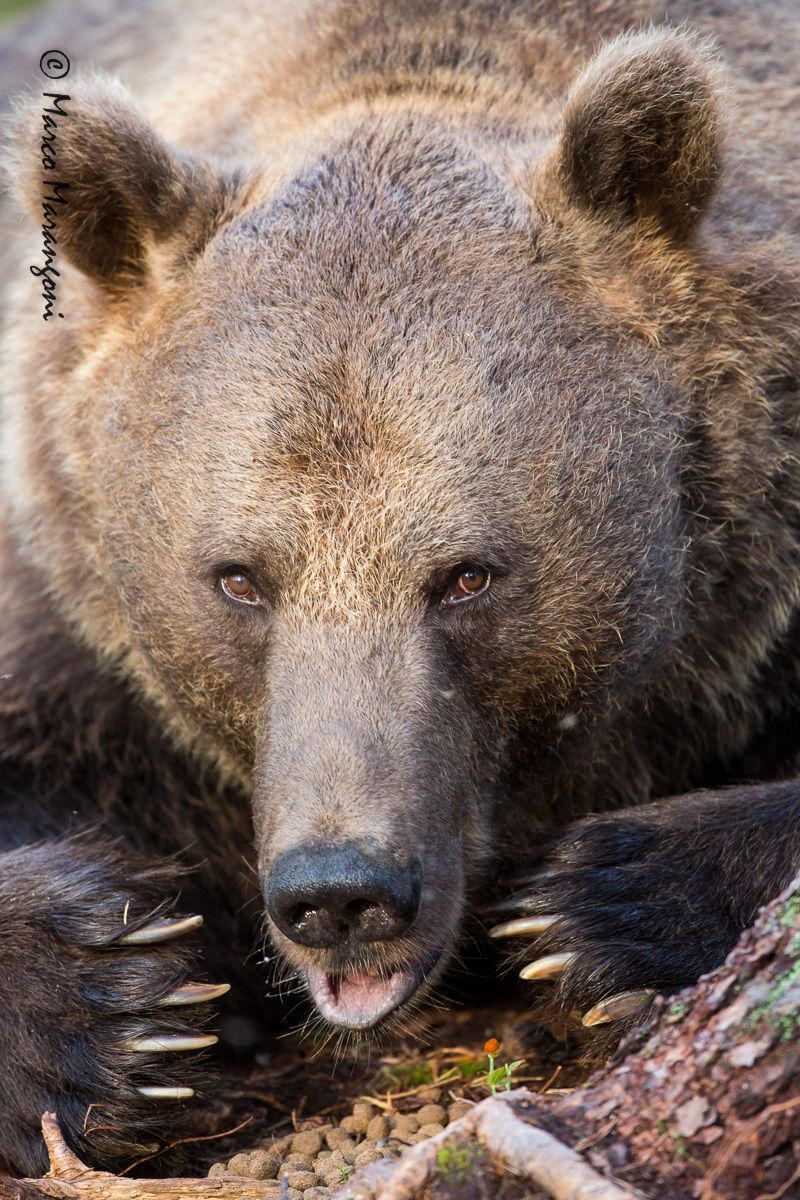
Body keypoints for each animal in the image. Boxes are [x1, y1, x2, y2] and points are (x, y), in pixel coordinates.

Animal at [1, 0, 800, 1177]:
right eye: (238, 578)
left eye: (467, 575)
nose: (341, 890)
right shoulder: (67, 601)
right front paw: (106, 999)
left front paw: (609, 898)